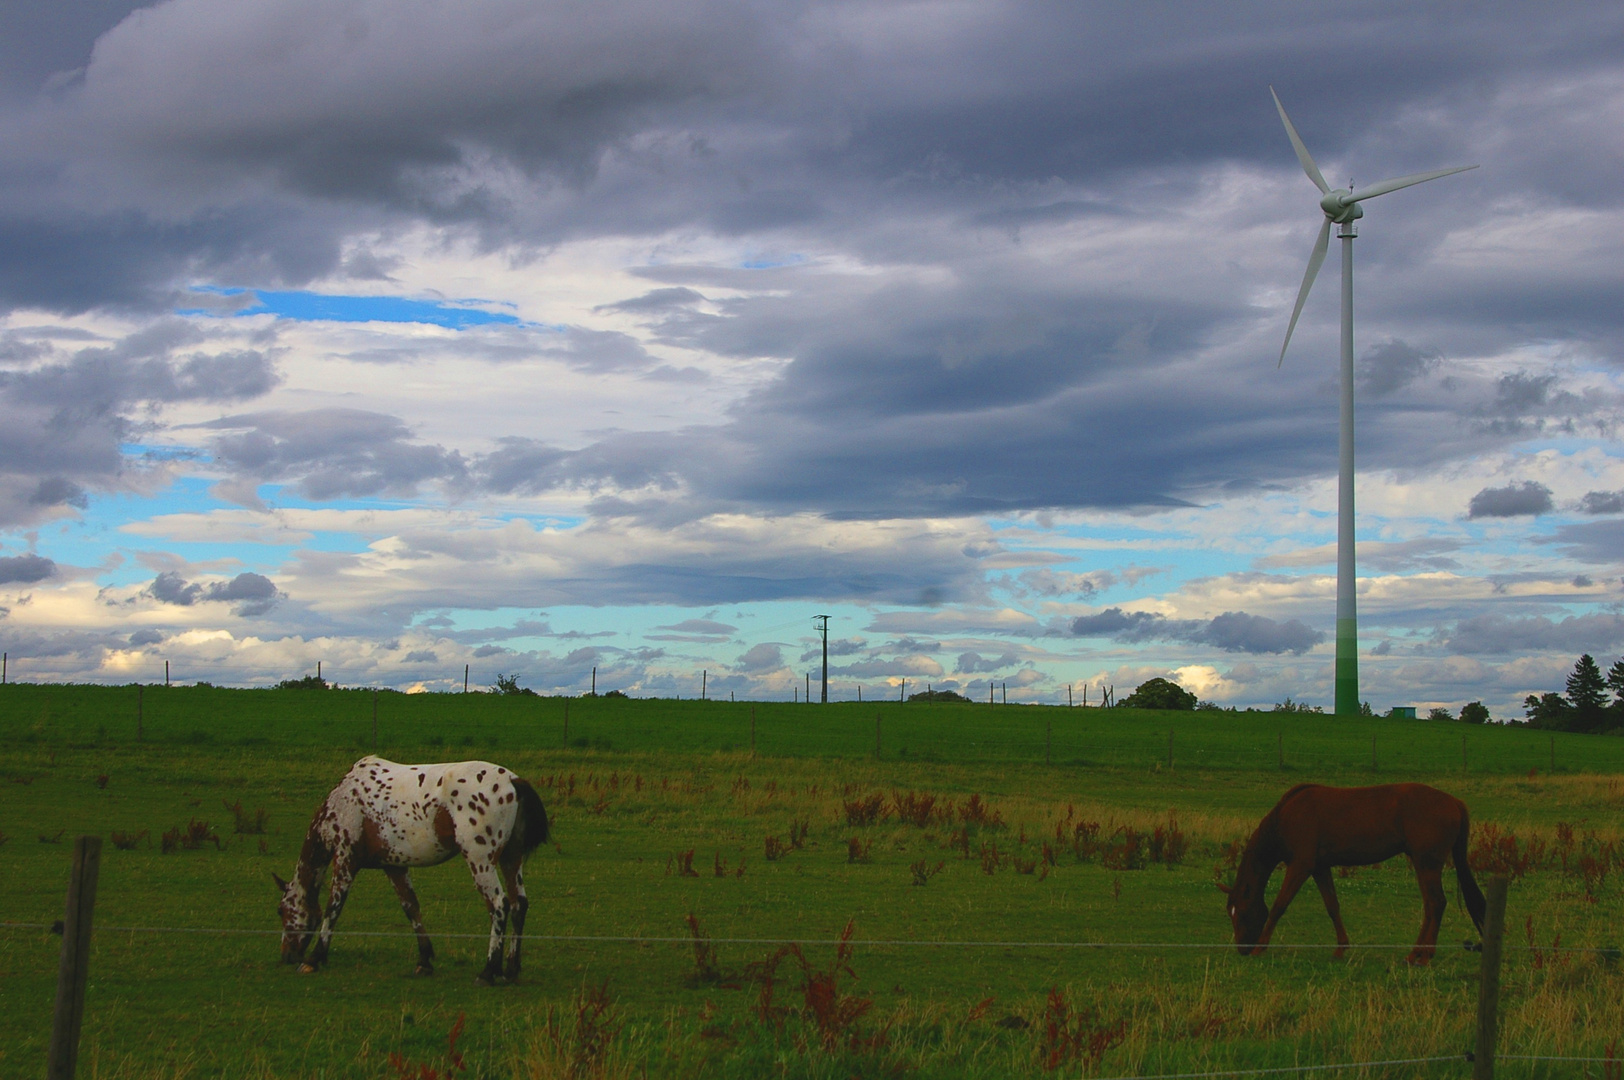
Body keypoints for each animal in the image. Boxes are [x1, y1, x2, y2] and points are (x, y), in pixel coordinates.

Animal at [277, 753, 552, 980]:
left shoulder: (346, 860)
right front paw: (424, 960)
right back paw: (511, 969)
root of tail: (514, 782)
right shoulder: (394, 866)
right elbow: (411, 908)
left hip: (480, 860)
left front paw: (314, 958)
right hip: (511, 860)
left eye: (281, 911)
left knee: (498, 905)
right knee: (518, 905)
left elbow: (333, 908)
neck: (344, 801)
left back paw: (488, 971)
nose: (286, 956)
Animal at [1221, 779, 1487, 961]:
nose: (1242, 948)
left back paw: (1423, 956)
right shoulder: (1319, 868)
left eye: (1241, 912)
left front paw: (1260, 947)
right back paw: (1416, 953)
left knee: (1436, 903)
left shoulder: (1300, 866)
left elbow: (1279, 905)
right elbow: (1332, 906)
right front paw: (1341, 948)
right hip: (1422, 864)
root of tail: (1454, 802)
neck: (1286, 816)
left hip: (1427, 864)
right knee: (1431, 906)